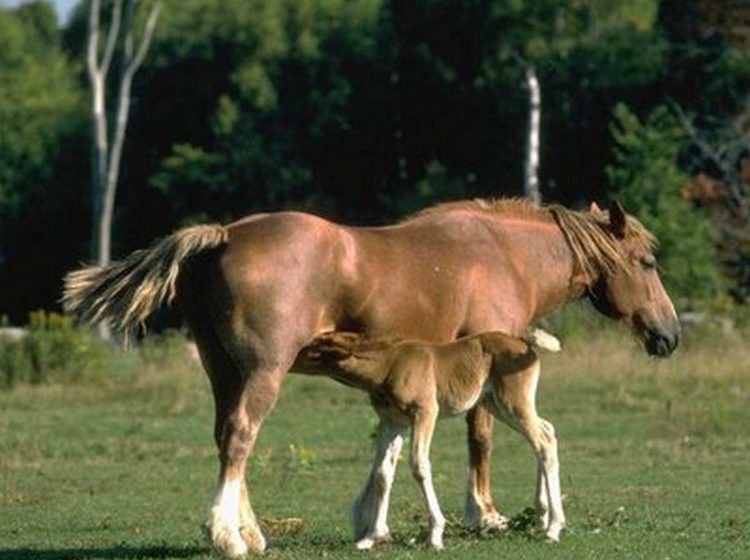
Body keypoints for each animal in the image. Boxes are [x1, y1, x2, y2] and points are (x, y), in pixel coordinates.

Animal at [296, 328, 568, 552]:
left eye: (314, 348)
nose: (291, 354)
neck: (389, 365)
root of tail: (523, 343)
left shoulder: (425, 412)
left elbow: (419, 465)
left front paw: (435, 536)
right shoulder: (392, 422)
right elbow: (383, 473)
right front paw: (371, 538)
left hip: (513, 403)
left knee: (543, 442)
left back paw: (553, 529)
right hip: (498, 406)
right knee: (546, 432)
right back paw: (543, 517)